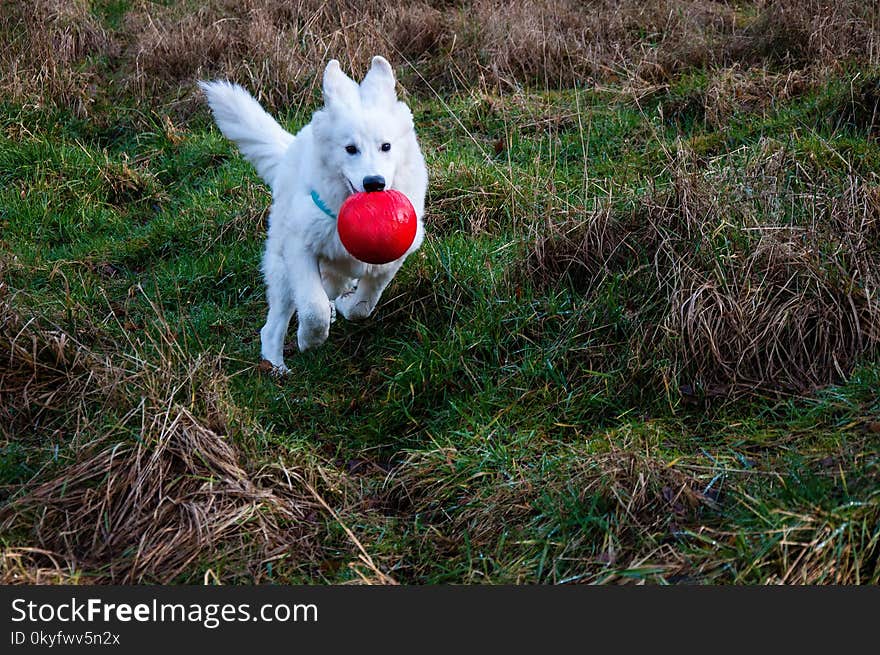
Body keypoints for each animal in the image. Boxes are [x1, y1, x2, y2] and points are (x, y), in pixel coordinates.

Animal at [203, 55, 430, 374]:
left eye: (386, 146)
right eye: (350, 149)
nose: (374, 183)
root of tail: (290, 150)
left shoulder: (391, 259)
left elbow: (363, 306)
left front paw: (348, 306)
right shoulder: (300, 248)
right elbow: (313, 308)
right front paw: (309, 339)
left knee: (332, 287)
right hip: (281, 268)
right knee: (273, 326)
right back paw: (276, 368)